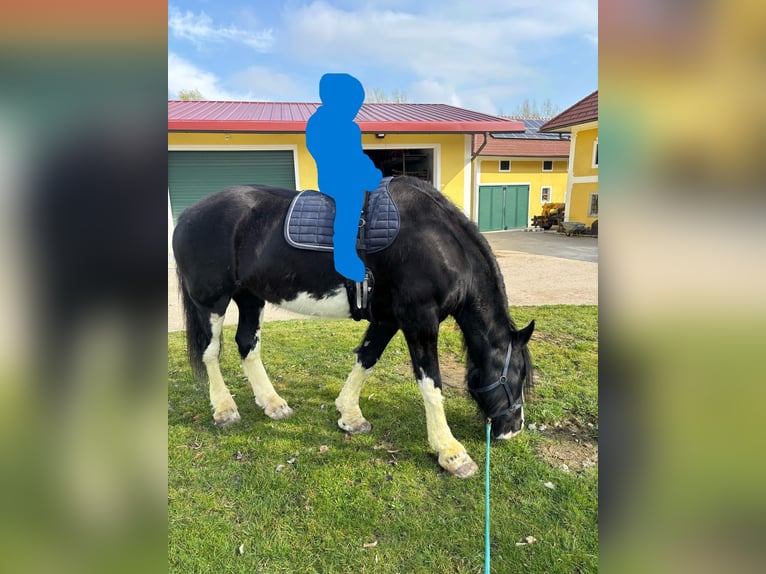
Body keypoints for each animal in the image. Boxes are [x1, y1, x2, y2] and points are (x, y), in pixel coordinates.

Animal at [172, 175, 534, 478]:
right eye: (516, 375)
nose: (513, 428)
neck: (437, 241)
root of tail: (187, 216)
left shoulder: (388, 319)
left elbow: (367, 358)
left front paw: (350, 415)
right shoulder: (419, 320)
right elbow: (431, 384)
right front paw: (451, 452)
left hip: (249, 297)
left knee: (247, 344)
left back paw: (273, 404)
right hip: (212, 302)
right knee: (210, 353)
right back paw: (225, 409)